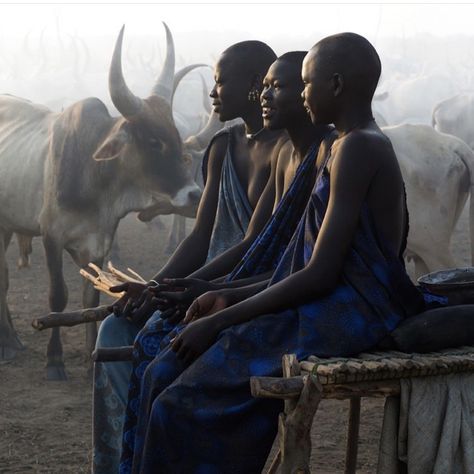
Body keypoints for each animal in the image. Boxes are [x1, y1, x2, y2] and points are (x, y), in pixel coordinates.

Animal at [0, 25, 206, 382]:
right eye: (153, 141)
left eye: (176, 137)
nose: (194, 194)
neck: (92, 176)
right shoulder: (52, 237)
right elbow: (58, 296)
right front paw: (55, 361)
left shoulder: (98, 242)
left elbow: (89, 296)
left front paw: (91, 356)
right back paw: (9, 343)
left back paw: (11, 338)